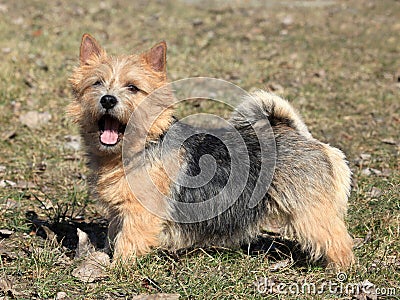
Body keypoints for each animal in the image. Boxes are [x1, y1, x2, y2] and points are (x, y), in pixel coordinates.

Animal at [68, 34, 354, 268]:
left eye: (132, 87)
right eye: (97, 83)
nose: (108, 99)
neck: (142, 146)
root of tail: (297, 133)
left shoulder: (139, 214)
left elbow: (128, 241)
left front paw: (118, 270)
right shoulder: (120, 211)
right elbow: (114, 234)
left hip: (311, 212)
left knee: (338, 240)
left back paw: (341, 271)